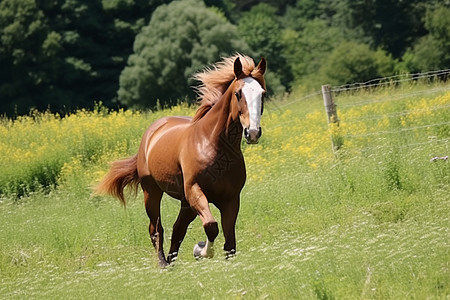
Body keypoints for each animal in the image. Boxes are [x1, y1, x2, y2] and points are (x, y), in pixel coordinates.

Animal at [93, 55, 266, 266]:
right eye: (238, 93)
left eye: (262, 94)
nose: (253, 133)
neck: (213, 145)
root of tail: (152, 131)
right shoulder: (195, 191)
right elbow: (211, 226)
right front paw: (200, 250)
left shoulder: (231, 199)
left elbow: (229, 241)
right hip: (152, 192)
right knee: (156, 229)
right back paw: (163, 264)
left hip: (185, 203)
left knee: (178, 229)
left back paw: (171, 261)